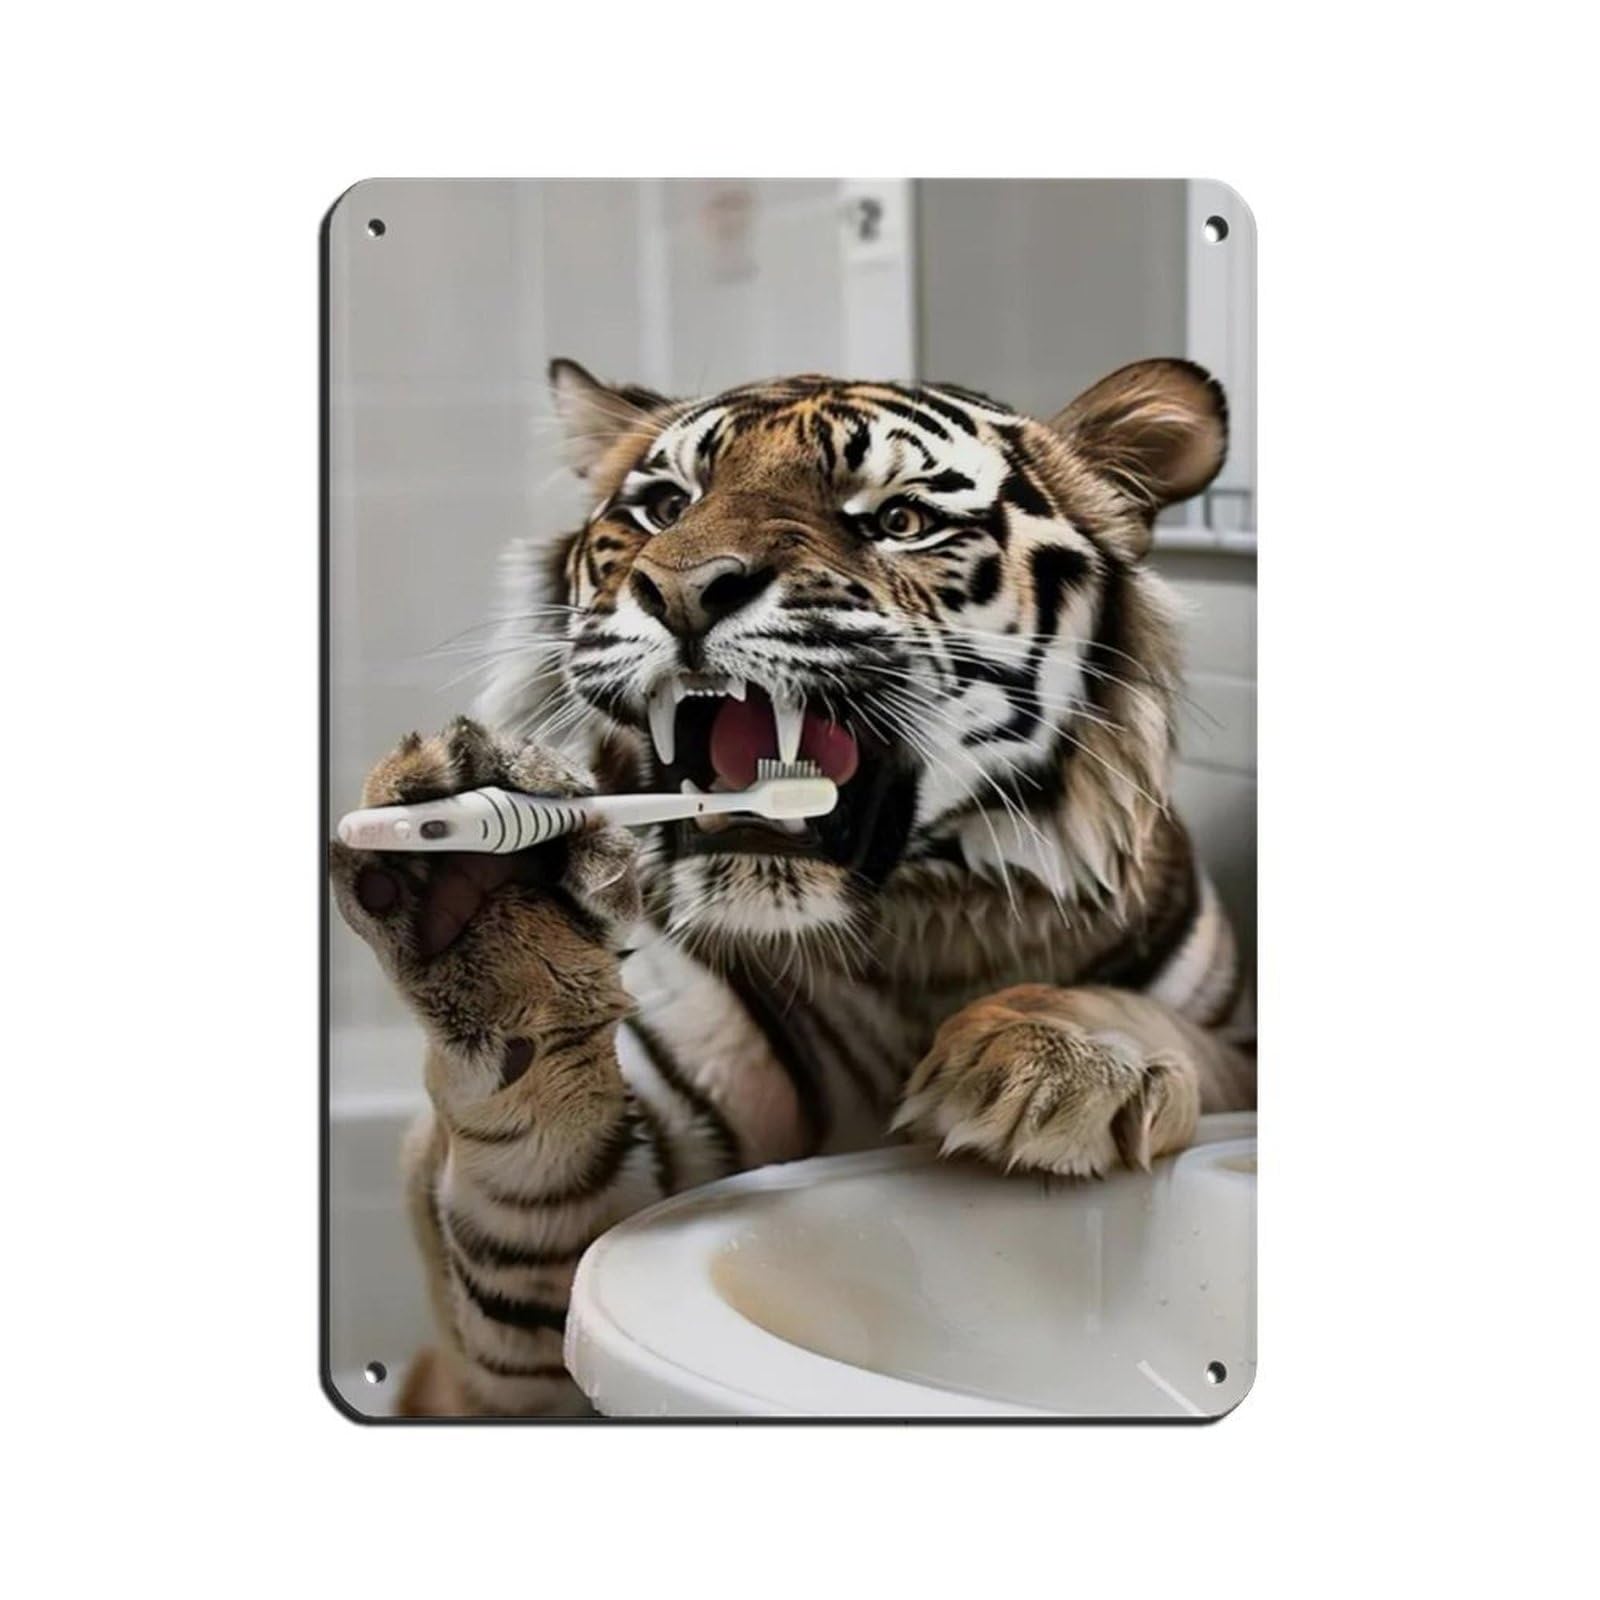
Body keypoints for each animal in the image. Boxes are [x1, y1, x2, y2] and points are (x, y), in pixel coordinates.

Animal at [328, 356, 1256, 1417]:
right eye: (665, 508)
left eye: (895, 518)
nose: (684, 590)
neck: (927, 935)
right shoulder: (536, 1332)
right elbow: (537, 1169)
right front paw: (491, 901)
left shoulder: (1241, 1052)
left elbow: (1161, 1030)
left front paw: (1057, 1056)